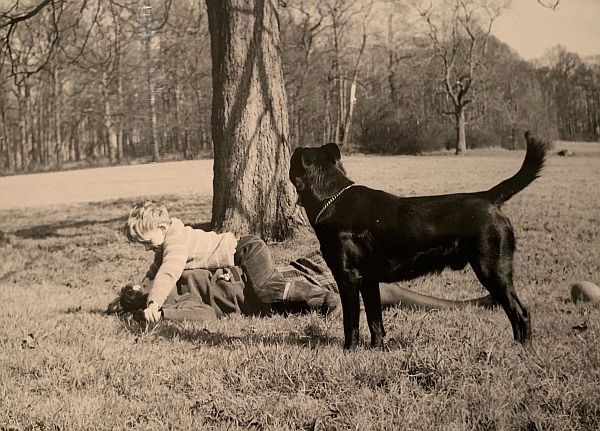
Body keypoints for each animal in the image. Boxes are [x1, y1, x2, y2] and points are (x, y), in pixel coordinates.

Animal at [288, 131, 548, 348]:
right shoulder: (369, 280)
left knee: (520, 312)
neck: (332, 197)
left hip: (492, 269)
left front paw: (349, 350)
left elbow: (350, 322)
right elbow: (375, 320)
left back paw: (522, 349)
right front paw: (376, 349)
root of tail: (489, 197)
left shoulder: (348, 277)